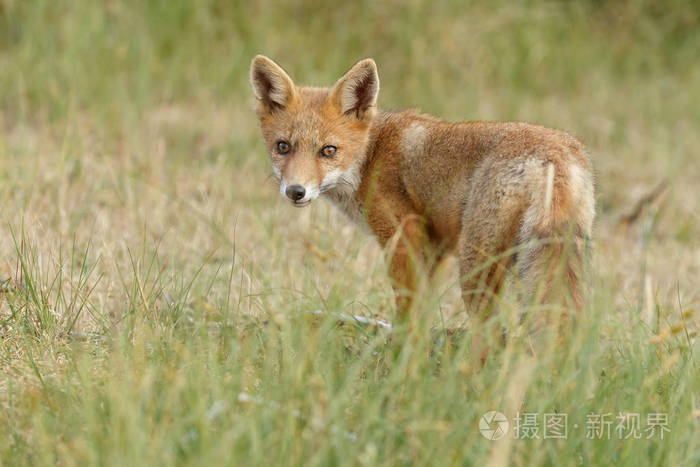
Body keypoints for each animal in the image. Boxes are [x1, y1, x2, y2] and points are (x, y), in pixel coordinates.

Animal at [249, 55, 592, 326]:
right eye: (283, 147)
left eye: (328, 151)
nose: (296, 191)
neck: (371, 156)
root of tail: (555, 153)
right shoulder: (436, 248)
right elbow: (425, 313)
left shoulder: (403, 235)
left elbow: (407, 312)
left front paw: (401, 359)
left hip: (475, 265)